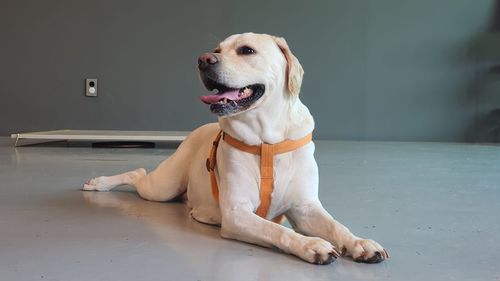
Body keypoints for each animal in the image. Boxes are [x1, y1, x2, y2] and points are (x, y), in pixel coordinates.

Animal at [82, 31, 388, 264]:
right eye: (217, 49)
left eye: (247, 50)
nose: (203, 59)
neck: (267, 141)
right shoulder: (237, 214)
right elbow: (277, 231)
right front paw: (311, 244)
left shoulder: (305, 208)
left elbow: (337, 225)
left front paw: (359, 242)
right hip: (162, 187)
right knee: (138, 174)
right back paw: (99, 183)